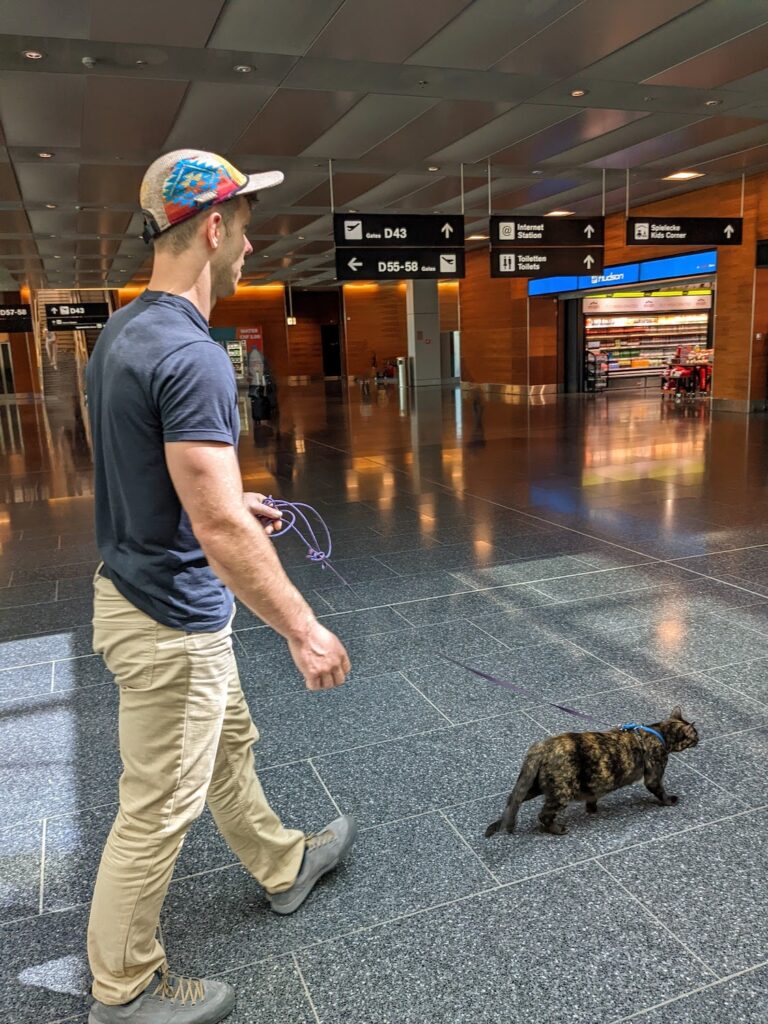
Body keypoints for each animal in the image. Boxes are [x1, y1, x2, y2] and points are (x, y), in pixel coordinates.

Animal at [489, 708, 700, 835]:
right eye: (695, 735)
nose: (700, 738)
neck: (659, 732)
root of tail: (541, 747)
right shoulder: (654, 776)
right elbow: (660, 791)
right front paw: (670, 801)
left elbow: (593, 796)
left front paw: (592, 809)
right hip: (563, 791)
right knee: (544, 814)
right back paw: (557, 829)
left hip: (535, 785)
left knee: (513, 799)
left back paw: (501, 822)